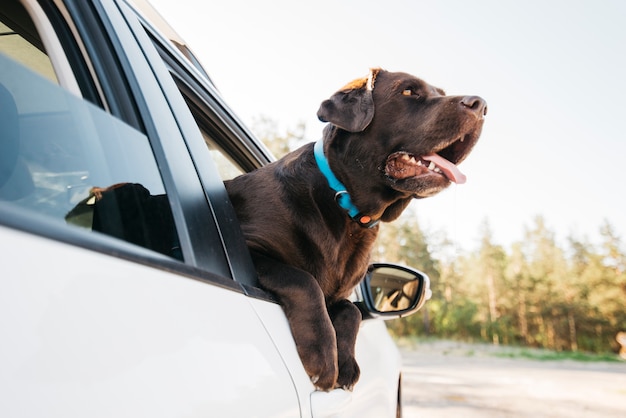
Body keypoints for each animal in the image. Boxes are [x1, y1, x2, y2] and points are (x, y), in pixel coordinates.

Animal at [222, 67, 486, 390]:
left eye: (440, 92)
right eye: (408, 91)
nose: (481, 105)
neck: (347, 208)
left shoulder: (340, 294)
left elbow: (351, 311)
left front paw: (345, 363)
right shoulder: (247, 245)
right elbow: (303, 279)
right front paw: (323, 357)